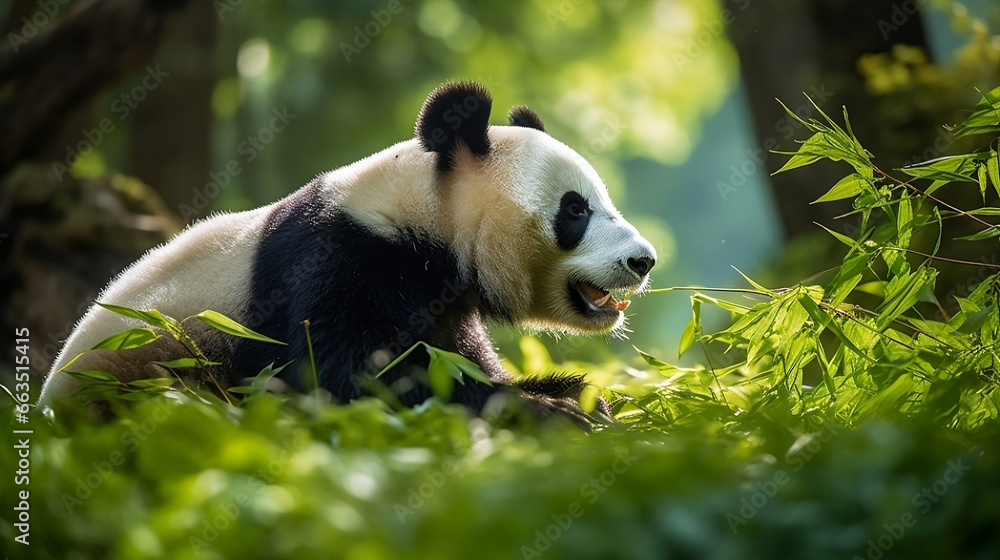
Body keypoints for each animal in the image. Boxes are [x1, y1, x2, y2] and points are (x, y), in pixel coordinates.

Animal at [39, 81, 656, 426]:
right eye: (575, 209)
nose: (643, 261)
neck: (422, 214)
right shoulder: (341, 255)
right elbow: (344, 375)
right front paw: (546, 412)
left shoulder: (440, 298)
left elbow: (454, 356)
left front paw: (578, 395)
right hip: (141, 373)